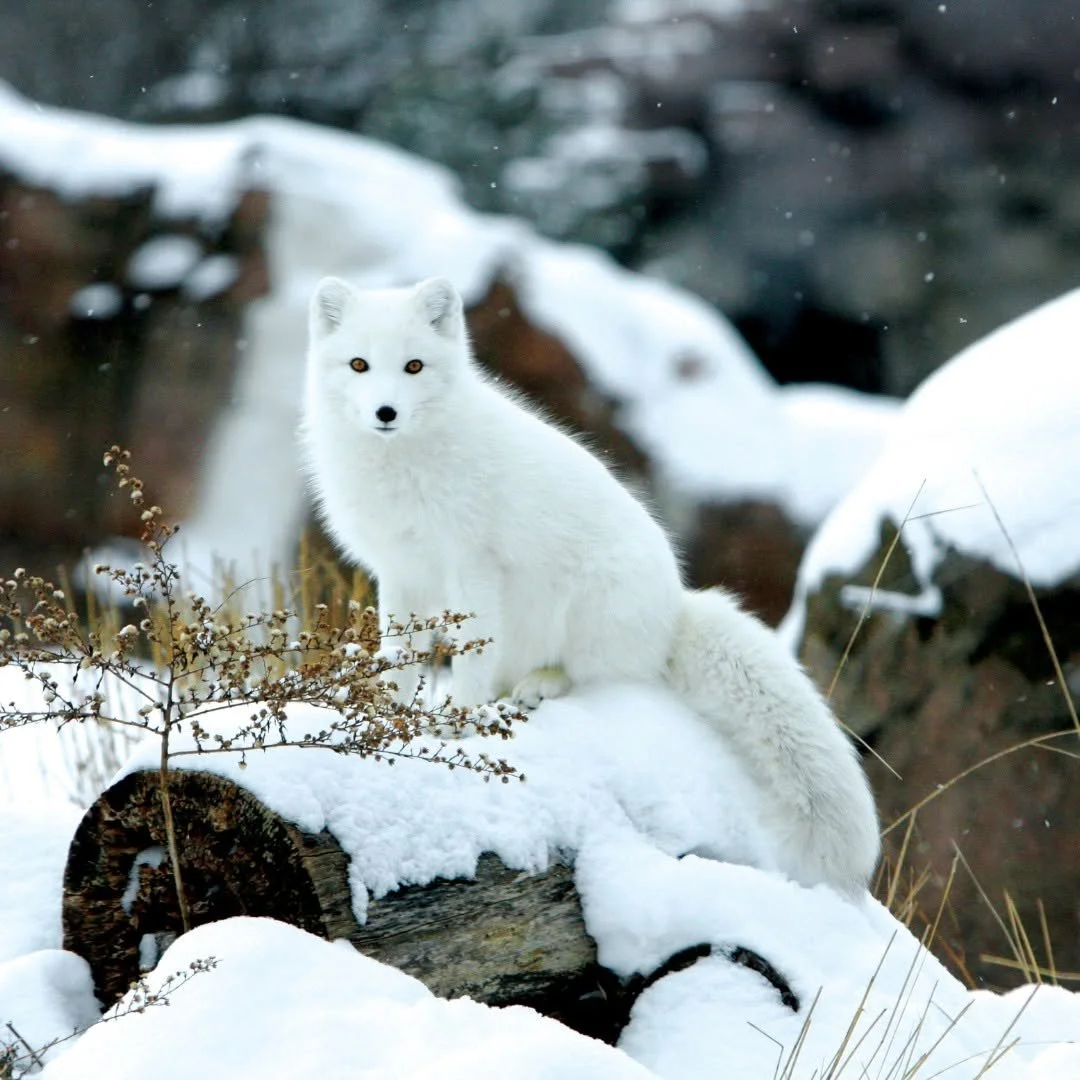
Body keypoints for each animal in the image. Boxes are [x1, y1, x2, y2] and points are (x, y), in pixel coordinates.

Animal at [301, 275, 880, 895]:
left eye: (414, 366)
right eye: (358, 364)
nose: (385, 411)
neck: (401, 466)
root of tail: (675, 612)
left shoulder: (474, 566)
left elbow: (472, 658)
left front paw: (458, 721)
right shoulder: (402, 574)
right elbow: (399, 656)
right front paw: (386, 714)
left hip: (587, 606)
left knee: (593, 677)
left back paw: (539, 685)